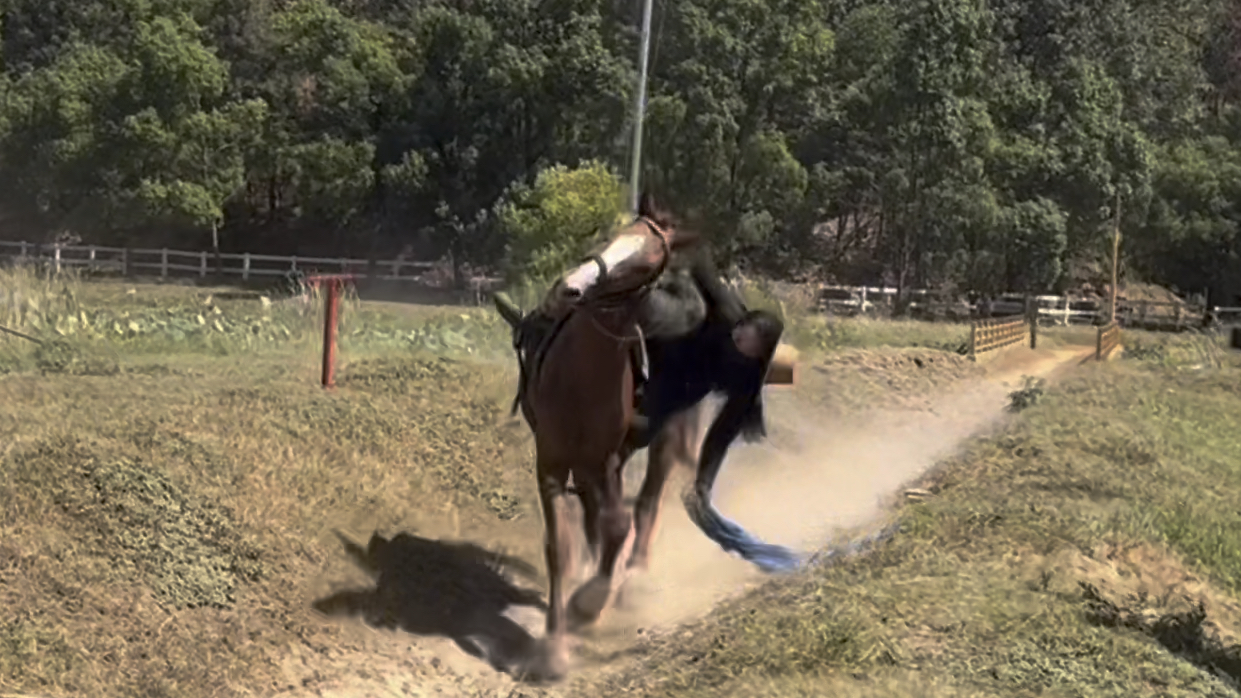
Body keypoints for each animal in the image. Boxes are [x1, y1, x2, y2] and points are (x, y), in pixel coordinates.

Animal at [508, 192, 694, 675]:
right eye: (611, 238)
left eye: (647, 263)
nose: (569, 288)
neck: (579, 377)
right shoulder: (553, 463)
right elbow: (560, 547)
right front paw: (553, 646)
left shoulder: (605, 460)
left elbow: (618, 525)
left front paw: (588, 603)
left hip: (659, 442)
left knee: (646, 503)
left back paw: (635, 576)